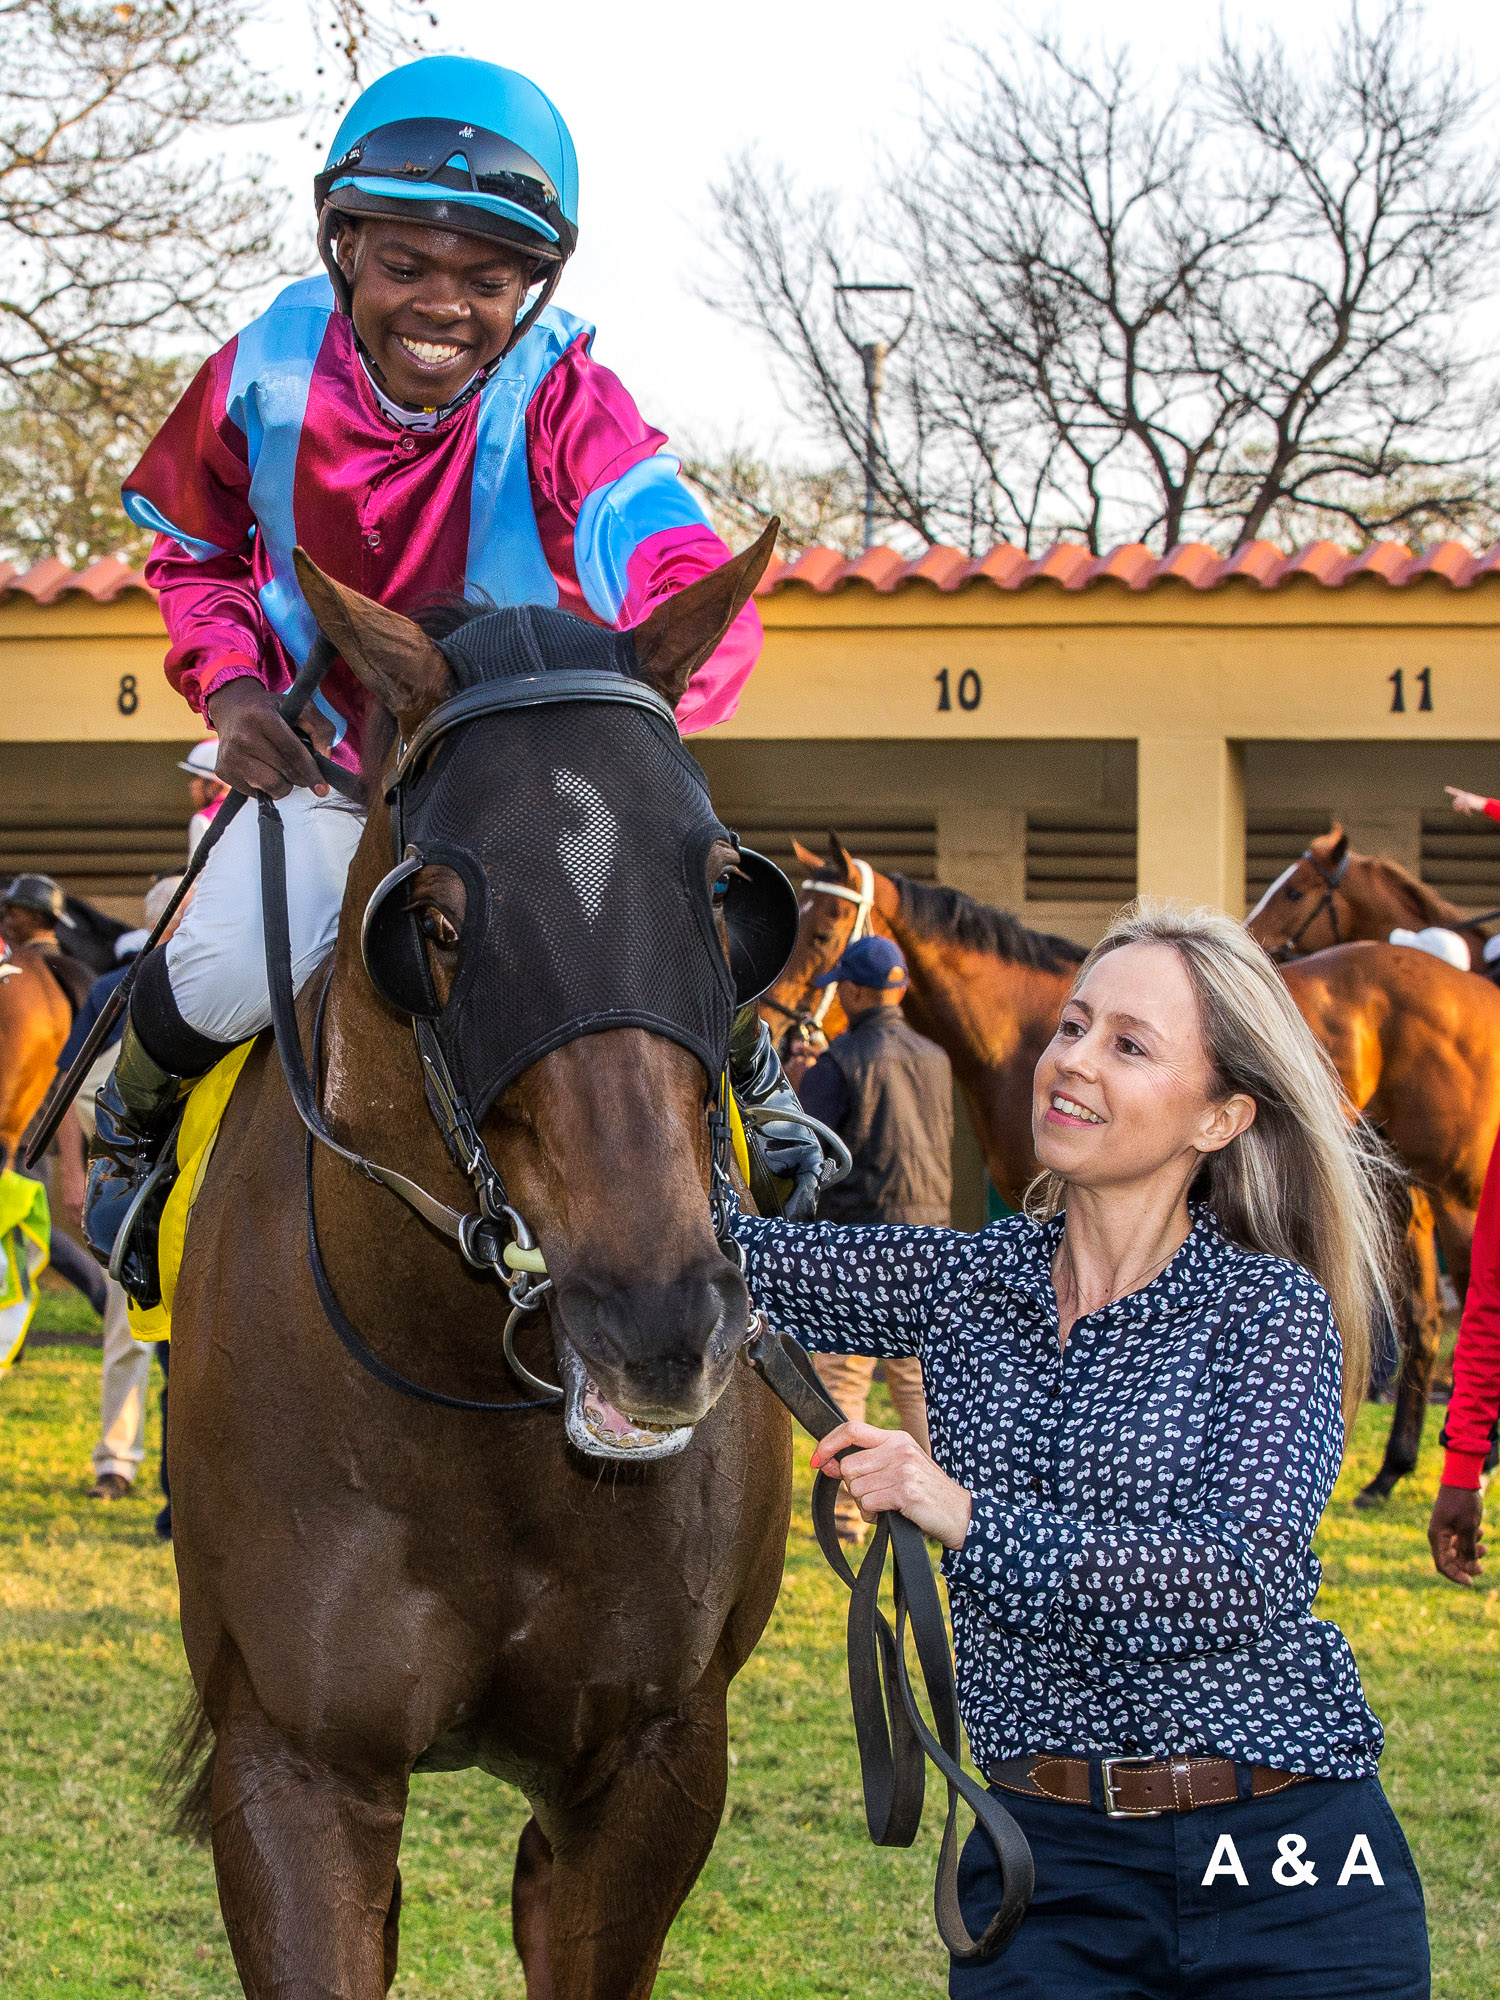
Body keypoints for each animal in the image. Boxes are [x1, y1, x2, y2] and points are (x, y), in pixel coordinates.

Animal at [167, 536, 797, 2000]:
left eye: (723, 887)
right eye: (436, 922)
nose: (656, 1317)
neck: (471, 1405)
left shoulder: (655, 1762)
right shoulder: (293, 1763)